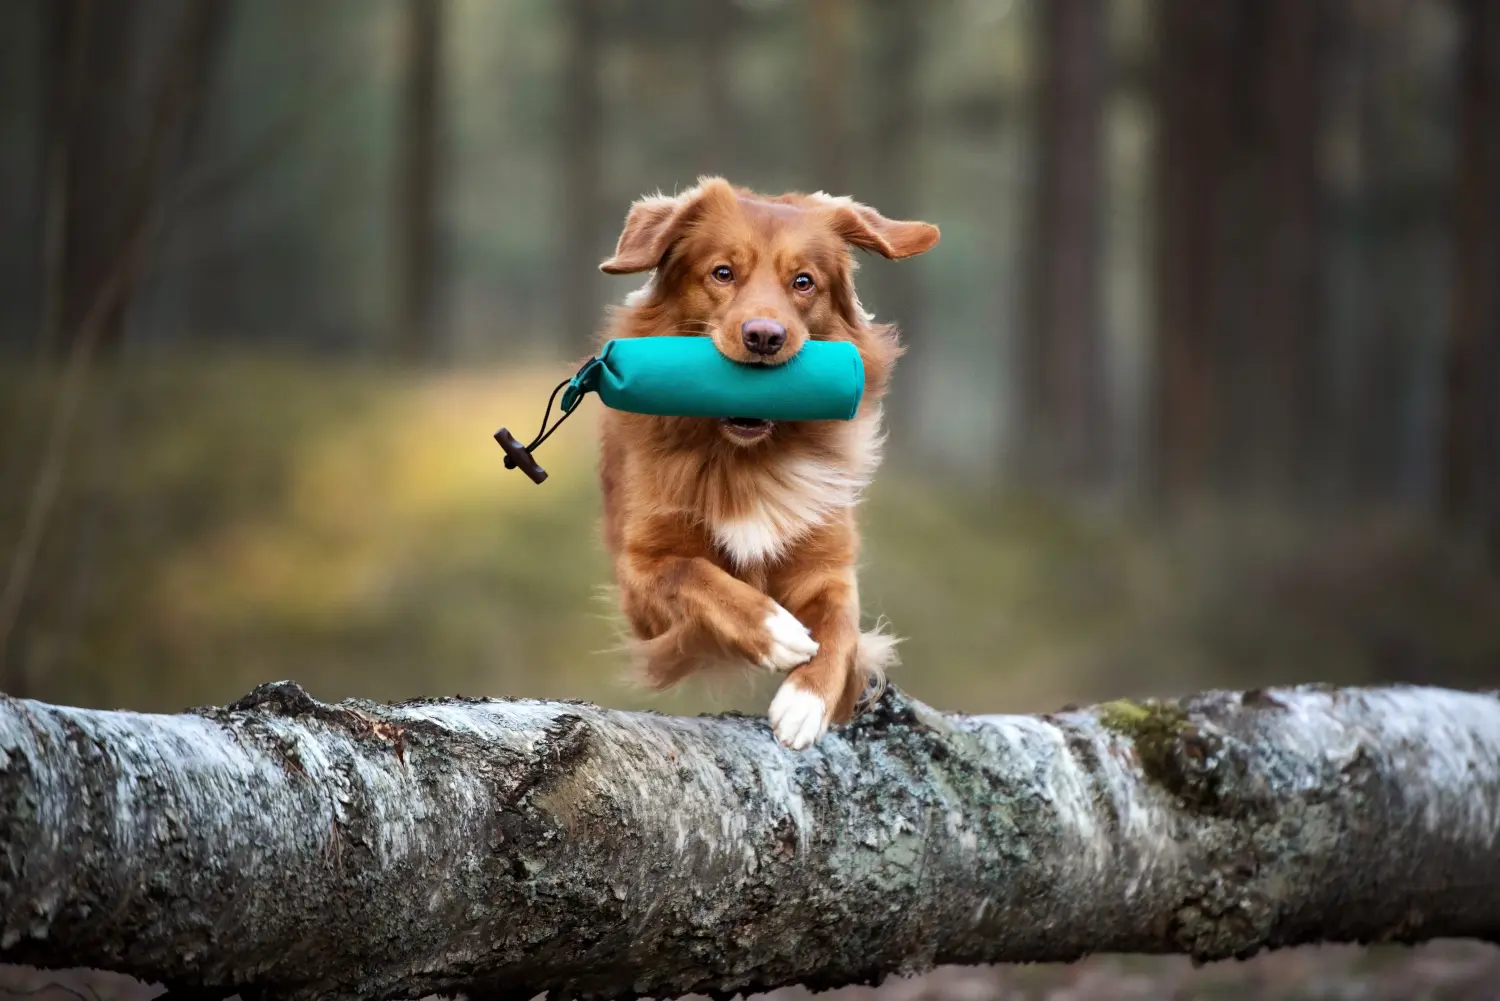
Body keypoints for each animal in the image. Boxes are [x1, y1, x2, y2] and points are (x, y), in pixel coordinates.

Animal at [588, 176, 930, 747]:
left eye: (804, 282)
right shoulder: (641, 577)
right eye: (723, 273)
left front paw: (806, 700)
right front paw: (775, 630)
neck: (745, 459)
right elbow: (694, 574)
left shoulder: (828, 564)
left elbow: (840, 623)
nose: (765, 337)